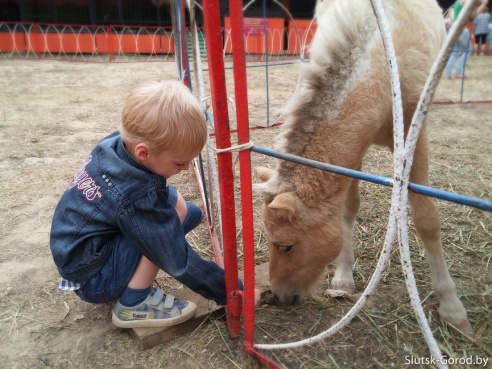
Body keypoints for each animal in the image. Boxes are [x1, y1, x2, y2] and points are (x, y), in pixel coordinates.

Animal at [254, 0, 472, 334]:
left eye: (286, 246)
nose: (278, 296)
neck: (381, 67)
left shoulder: (415, 136)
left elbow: (426, 218)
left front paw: (452, 307)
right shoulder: (353, 149)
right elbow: (347, 209)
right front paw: (343, 279)